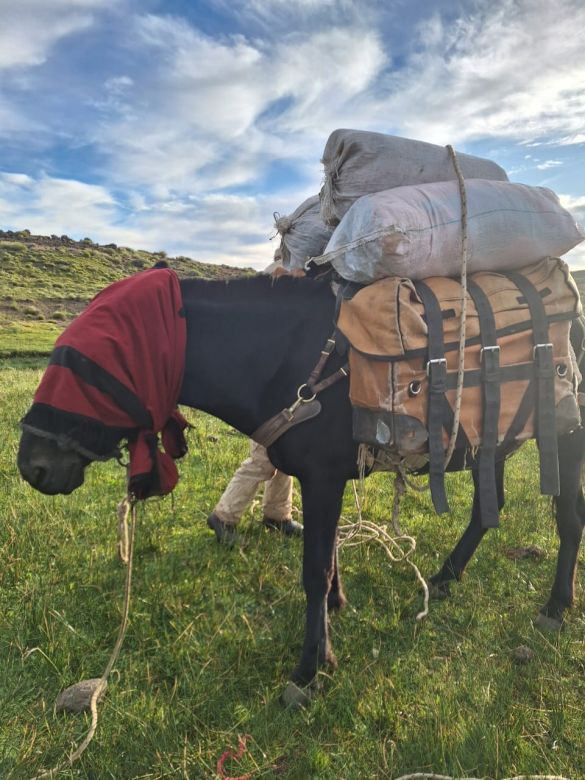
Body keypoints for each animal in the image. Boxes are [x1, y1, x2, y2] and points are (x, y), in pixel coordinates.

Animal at [16, 272, 580, 700]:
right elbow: (326, 557)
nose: (30, 467)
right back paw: (445, 576)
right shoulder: (321, 481)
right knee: (489, 506)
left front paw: (312, 665)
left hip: (563, 430)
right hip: (493, 440)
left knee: (567, 518)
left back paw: (556, 606)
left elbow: (314, 570)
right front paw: (334, 611)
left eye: (81, 365)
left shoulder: (324, 479)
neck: (281, 360)